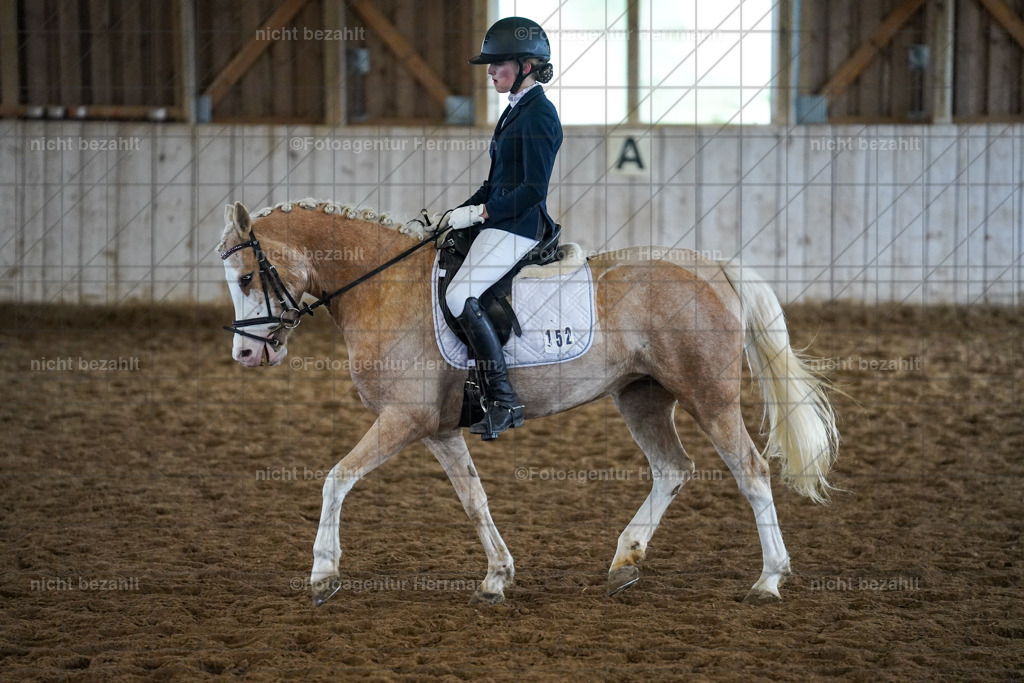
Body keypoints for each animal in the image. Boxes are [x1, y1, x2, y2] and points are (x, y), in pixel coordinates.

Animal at [217, 198, 838, 606]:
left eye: (246, 277)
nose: (246, 354)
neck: (382, 288)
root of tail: (713, 267)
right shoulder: (439, 429)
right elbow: (474, 500)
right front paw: (497, 577)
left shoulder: (403, 419)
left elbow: (336, 478)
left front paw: (322, 575)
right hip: (640, 396)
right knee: (672, 468)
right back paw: (625, 561)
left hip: (709, 396)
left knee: (751, 472)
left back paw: (768, 580)